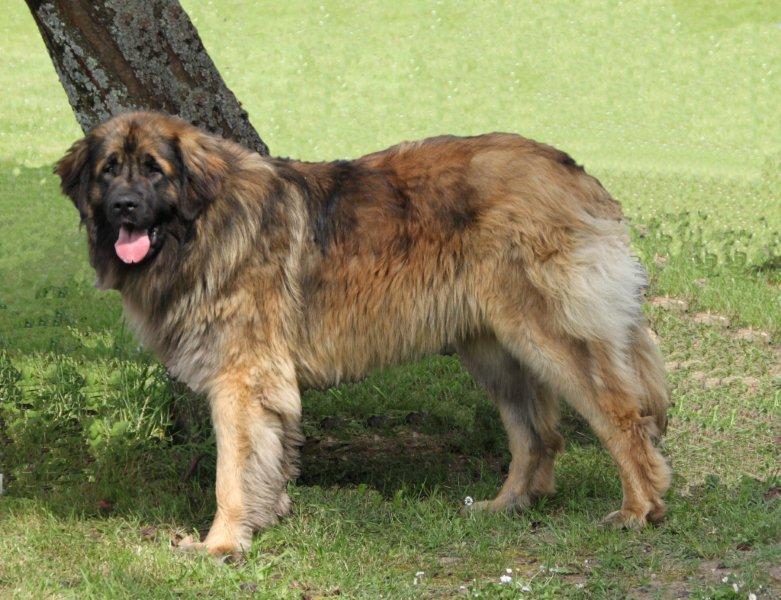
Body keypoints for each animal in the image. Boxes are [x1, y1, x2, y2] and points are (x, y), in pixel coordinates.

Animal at [56, 111, 670, 555]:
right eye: (109, 169)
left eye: (154, 169)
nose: (123, 207)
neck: (204, 224)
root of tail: (572, 170)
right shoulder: (264, 384)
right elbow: (268, 459)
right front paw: (266, 519)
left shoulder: (239, 379)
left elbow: (231, 472)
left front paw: (222, 545)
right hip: (494, 349)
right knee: (536, 434)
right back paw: (507, 506)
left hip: (550, 335)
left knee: (621, 416)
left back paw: (640, 509)